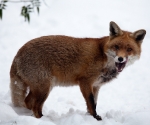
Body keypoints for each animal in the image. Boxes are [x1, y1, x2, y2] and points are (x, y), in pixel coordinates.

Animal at [9, 21, 145, 120]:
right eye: (116, 47)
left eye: (129, 49)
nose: (120, 58)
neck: (104, 57)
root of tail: (18, 54)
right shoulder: (85, 82)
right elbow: (91, 103)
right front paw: (96, 119)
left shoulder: (96, 86)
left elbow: (94, 104)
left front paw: (91, 117)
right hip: (44, 89)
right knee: (35, 106)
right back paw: (42, 119)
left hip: (42, 88)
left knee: (28, 101)